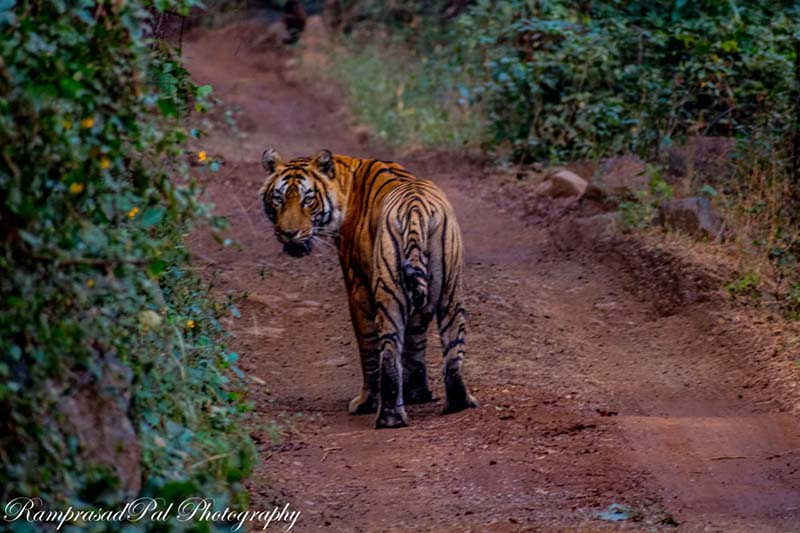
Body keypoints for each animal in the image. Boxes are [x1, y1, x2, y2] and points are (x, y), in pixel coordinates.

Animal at [260, 149, 478, 428]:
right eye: (278, 199)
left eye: (308, 200)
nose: (289, 233)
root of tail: (415, 208)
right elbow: (416, 341)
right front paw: (418, 394)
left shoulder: (358, 288)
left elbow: (368, 349)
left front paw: (366, 402)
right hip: (451, 291)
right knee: (453, 350)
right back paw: (458, 403)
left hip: (389, 291)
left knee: (388, 352)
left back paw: (389, 418)